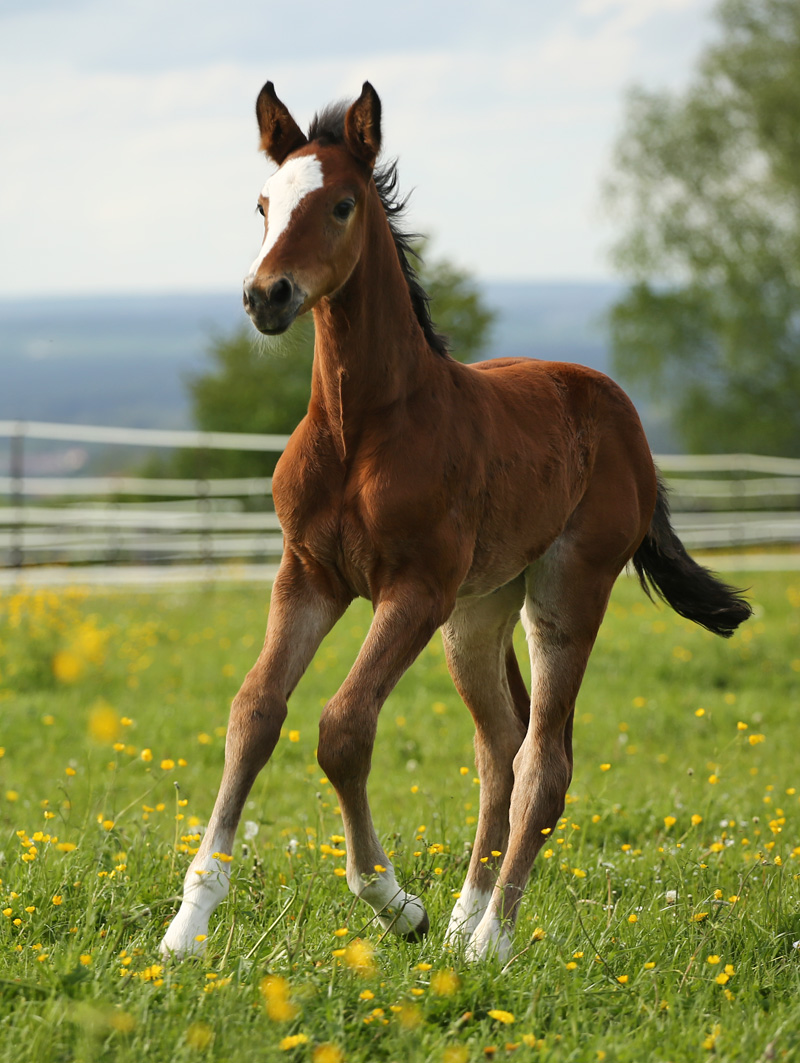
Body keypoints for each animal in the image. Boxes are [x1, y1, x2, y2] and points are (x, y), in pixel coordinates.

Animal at [160, 81, 751, 963]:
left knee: (544, 760)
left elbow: (342, 728)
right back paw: (465, 919)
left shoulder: (414, 589)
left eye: (340, 204)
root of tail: (620, 410)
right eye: (263, 203)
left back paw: (489, 944)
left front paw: (393, 902)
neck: (360, 427)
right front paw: (188, 924)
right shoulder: (308, 576)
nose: (267, 296)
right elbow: (254, 712)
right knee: (500, 750)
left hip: (563, 590)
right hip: (478, 614)